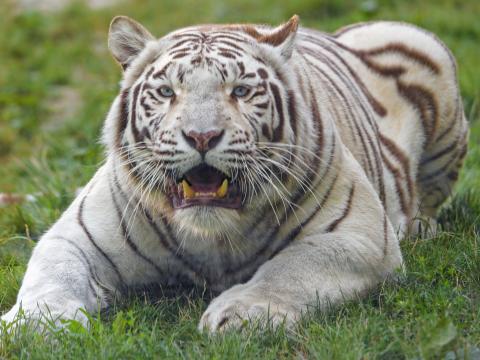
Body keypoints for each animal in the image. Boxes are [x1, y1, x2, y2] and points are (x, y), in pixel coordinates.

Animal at [0, 16, 464, 332]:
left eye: (240, 91)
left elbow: (293, 266)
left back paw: (420, 225)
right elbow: (52, 274)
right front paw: (35, 324)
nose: (202, 136)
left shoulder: (360, 235)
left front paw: (242, 313)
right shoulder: (77, 234)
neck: (211, 239)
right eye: (167, 92)